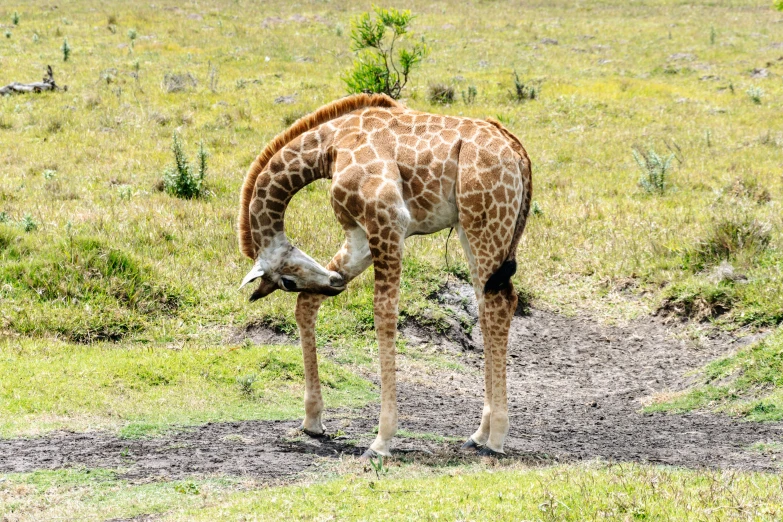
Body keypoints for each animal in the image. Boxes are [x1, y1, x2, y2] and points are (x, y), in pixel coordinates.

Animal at [239, 93, 532, 456]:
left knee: (499, 303)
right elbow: (306, 305)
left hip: (486, 222)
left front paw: (382, 439)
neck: (329, 147)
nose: (334, 286)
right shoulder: (359, 234)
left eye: (287, 282)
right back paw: (479, 434)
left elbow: (384, 315)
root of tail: (517, 151)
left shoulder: (389, 219)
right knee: (488, 303)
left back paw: (495, 439)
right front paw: (312, 421)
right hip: (472, 227)